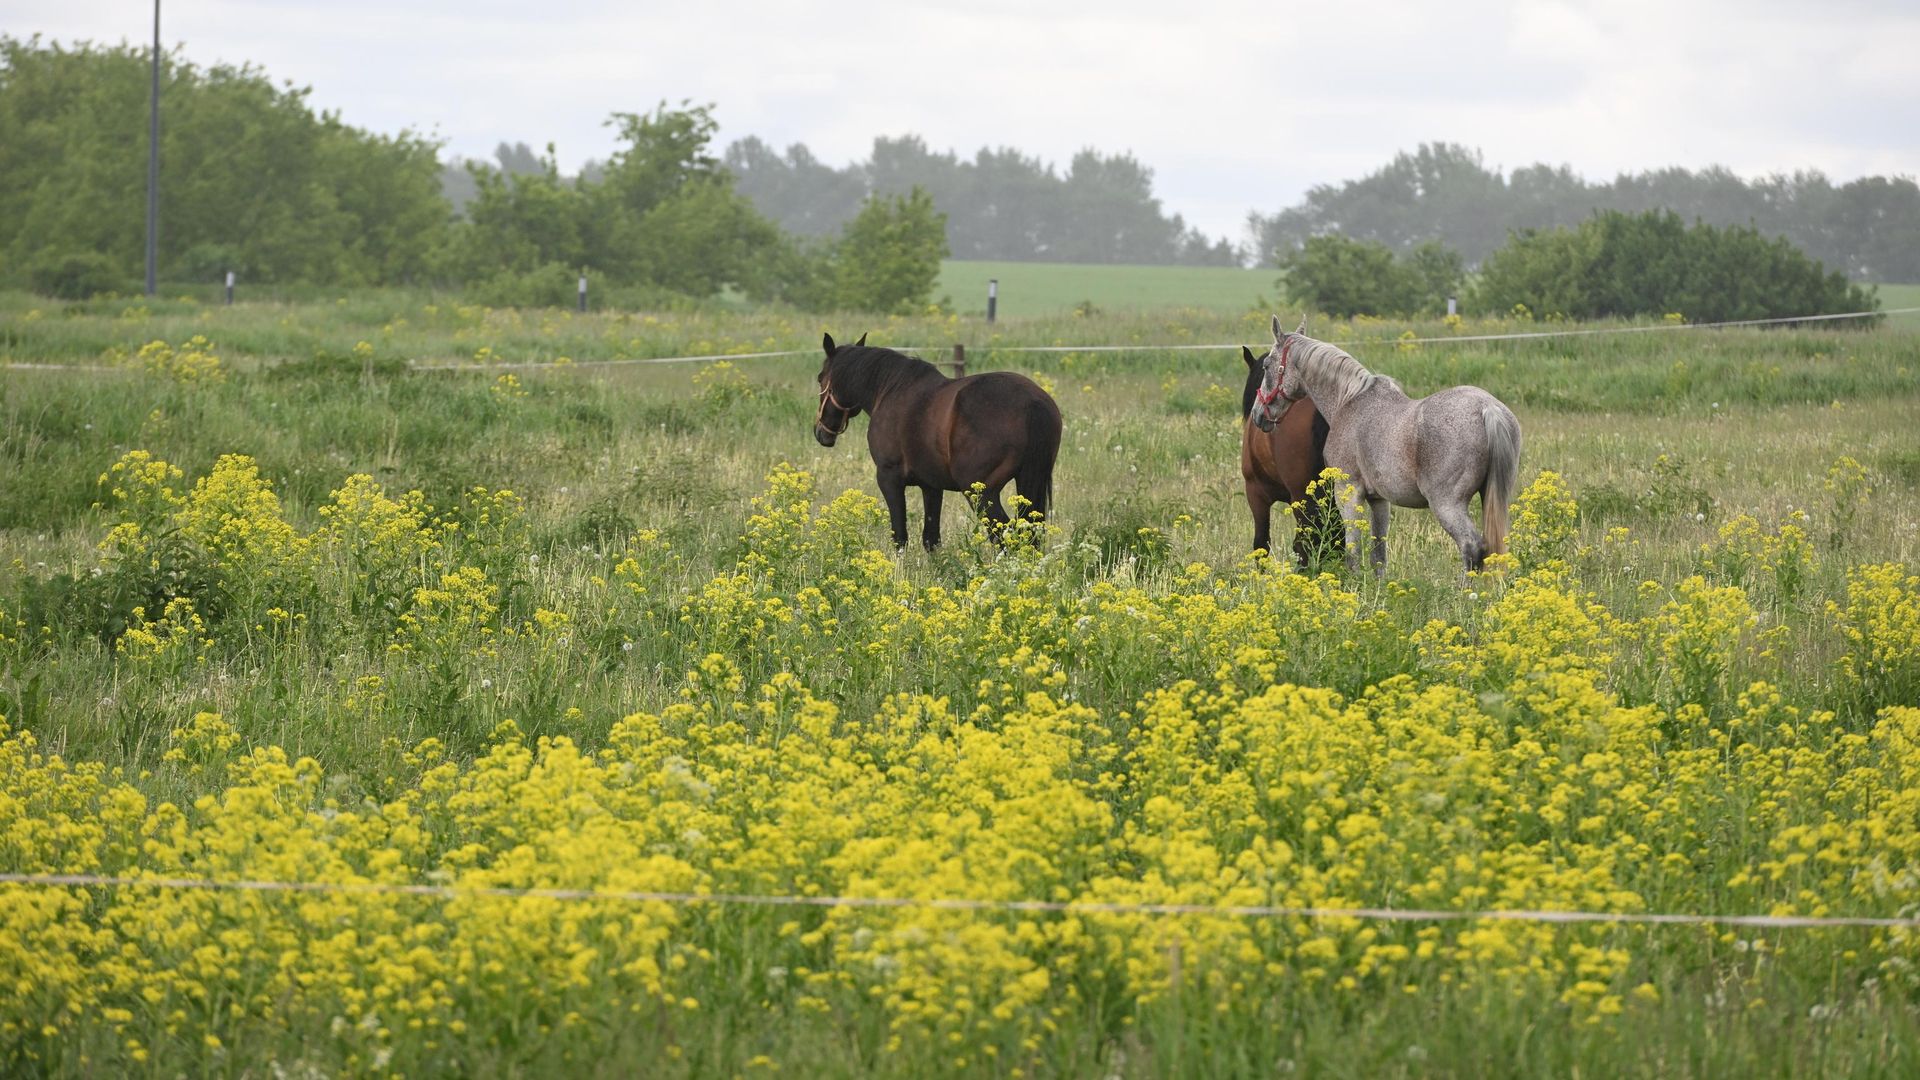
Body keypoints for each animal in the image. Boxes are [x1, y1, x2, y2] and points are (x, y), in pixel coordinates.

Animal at [814, 332, 1062, 549]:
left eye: (819, 378)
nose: (821, 432)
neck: (890, 390)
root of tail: (1032, 403)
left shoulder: (889, 478)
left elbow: (900, 537)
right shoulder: (931, 486)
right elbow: (931, 539)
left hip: (982, 493)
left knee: (1005, 536)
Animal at [1251, 316, 1520, 576]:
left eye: (1266, 366)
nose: (1257, 415)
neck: (1349, 401)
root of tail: (1488, 408)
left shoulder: (1349, 492)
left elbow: (1353, 553)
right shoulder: (1379, 500)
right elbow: (1378, 557)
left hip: (1447, 505)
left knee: (1471, 547)